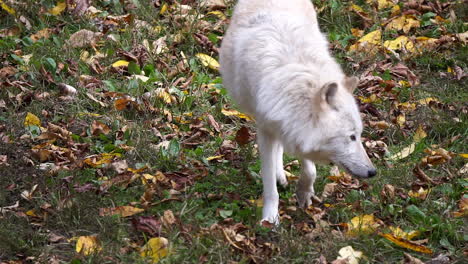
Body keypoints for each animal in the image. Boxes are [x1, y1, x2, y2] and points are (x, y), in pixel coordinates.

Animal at [219, 0, 376, 224]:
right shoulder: (267, 127)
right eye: (352, 137)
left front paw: (304, 192)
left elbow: (310, 169)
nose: (373, 172)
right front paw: (270, 219)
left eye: (360, 135)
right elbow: (270, 185)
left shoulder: (298, 132)